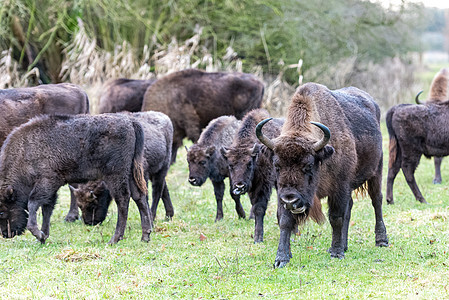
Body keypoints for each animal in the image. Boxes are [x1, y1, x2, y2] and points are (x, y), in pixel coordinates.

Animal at [0, 113, 150, 245]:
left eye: (1, 211)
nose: (6, 234)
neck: (24, 151)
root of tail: (130, 122)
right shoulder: (51, 188)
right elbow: (47, 209)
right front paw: (42, 237)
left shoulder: (46, 182)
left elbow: (33, 204)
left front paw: (38, 234)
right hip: (130, 173)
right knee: (139, 196)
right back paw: (145, 236)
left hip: (116, 175)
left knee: (123, 199)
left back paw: (114, 239)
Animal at [220, 109, 284, 243]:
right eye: (230, 165)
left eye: (249, 163)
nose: (239, 186)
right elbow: (254, 206)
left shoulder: (263, 185)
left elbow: (259, 208)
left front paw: (258, 238)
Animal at [256, 83, 388, 268]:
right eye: (277, 165)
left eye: (308, 165)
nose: (291, 200)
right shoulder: (282, 194)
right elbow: (285, 221)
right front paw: (281, 258)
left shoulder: (339, 187)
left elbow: (336, 218)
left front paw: (336, 253)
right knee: (350, 207)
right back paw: (345, 245)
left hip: (376, 171)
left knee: (377, 201)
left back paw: (381, 240)